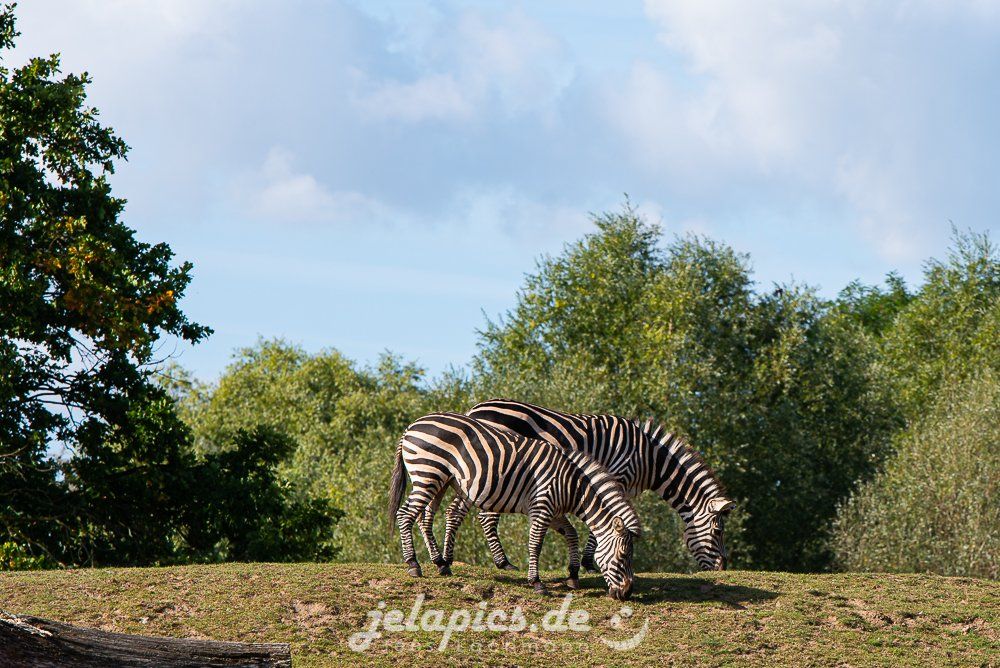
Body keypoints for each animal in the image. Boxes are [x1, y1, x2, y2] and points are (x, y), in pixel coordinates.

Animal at [389, 412, 641, 600]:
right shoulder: (542, 507)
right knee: (405, 514)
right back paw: (413, 564)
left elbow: (572, 534)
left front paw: (572, 574)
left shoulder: (555, 513)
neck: (571, 485)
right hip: (428, 472)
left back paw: (441, 564)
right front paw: (537, 583)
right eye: (623, 555)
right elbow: (535, 544)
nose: (627, 593)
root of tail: (411, 427)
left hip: (440, 481)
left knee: (424, 517)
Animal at [428, 399, 734, 572]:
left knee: (456, 510)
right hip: (495, 471)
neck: (649, 457)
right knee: (485, 516)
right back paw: (503, 562)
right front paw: (590, 563)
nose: (722, 569)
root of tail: (474, 410)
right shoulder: (617, 476)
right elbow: (606, 521)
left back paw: (448, 557)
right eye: (718, 532)